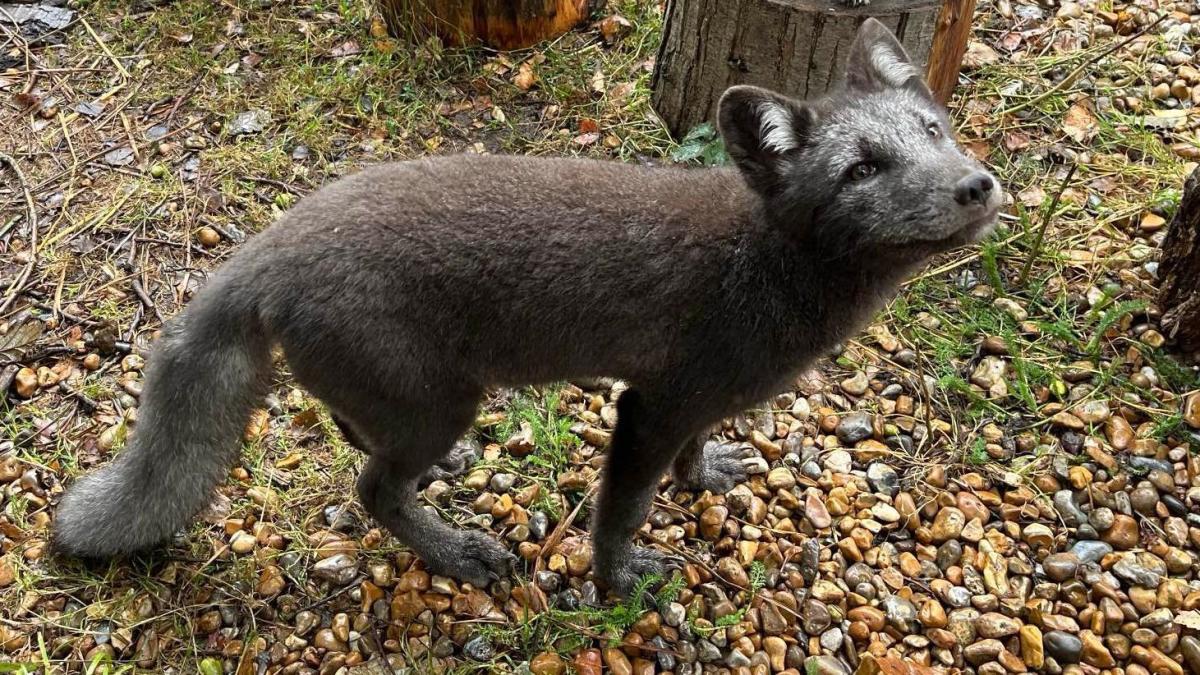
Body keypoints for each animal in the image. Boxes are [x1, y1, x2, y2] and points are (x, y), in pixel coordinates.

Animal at [53, 19, 1000, 597]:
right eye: (861, 169)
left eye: (935, 129)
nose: (977, 185)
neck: (764, 265)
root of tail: (270, 246)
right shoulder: (650, 405)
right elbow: (620, 511)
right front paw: (620, 583)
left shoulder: (696, 400)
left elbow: (697, 453)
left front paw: (707, 478)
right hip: (441, 399)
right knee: (371, 488)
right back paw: (461, 554)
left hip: (413, 400)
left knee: (359, 441)